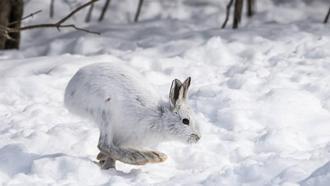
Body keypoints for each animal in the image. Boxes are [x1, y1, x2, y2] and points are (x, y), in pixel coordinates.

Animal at [63, 62, 200, 169]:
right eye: (185, 121)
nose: (198, 138)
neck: (160, 117)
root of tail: (70, 90)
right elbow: (108, 149)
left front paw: (103, 161)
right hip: (105, 113)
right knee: (104, 144)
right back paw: (142, 158)